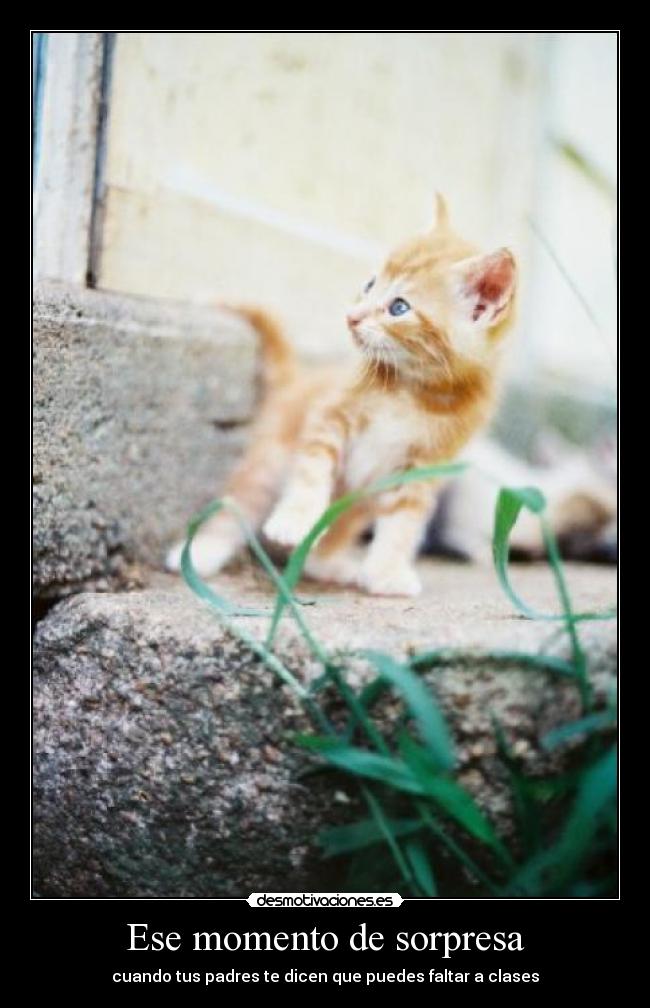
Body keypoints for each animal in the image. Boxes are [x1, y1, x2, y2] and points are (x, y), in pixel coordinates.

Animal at [166, 193, 515, 592]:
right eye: (370, 284)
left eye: (399, 307)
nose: (352, 316)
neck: (413, 389)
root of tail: (297, 382)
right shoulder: (330, 415)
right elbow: (311, 471)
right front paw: (295, 518)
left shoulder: (424, 465)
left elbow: (403, 521)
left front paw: (386, 573)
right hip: (270, 458)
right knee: (238, 504)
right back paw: (201, 553)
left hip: (356, 500)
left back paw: (326, 563)